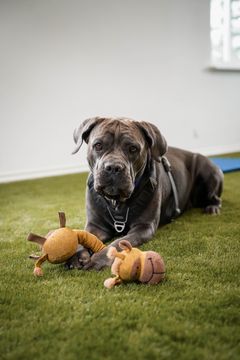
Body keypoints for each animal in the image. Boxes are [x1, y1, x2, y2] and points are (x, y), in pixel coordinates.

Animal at [66, 117, 223, 270]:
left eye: (133, 148)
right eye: (98, 145)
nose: (113, 167)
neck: (117, 203)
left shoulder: (143, 227)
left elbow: (119, 242)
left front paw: (98, 259)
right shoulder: (95, 225)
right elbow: (82, 236)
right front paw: (76, 255)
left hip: (207, 172)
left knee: (215, 197)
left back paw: (212, 208)